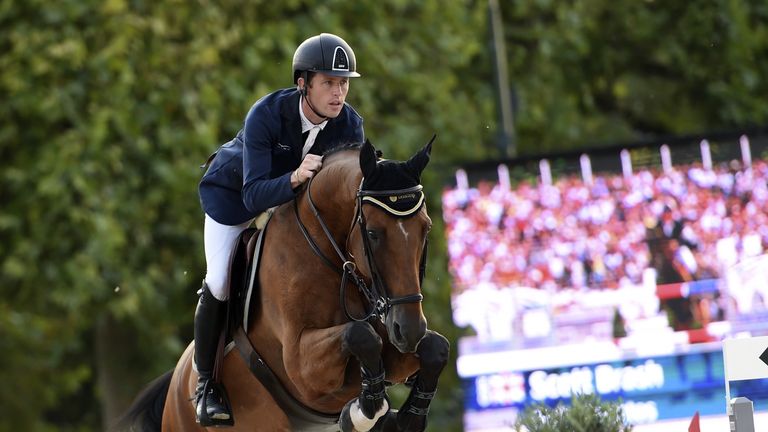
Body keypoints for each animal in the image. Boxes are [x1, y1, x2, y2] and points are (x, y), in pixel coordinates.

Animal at [118, 140, 450, 430]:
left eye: (426, 228)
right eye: (372, 233)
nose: (408, 330)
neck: (330, 256)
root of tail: (178, 379)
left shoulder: (394, 348)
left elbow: (436, 347)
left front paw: (402, 418)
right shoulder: (302, 369)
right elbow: (361, 335)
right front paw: (362, 412)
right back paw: (209, 401)